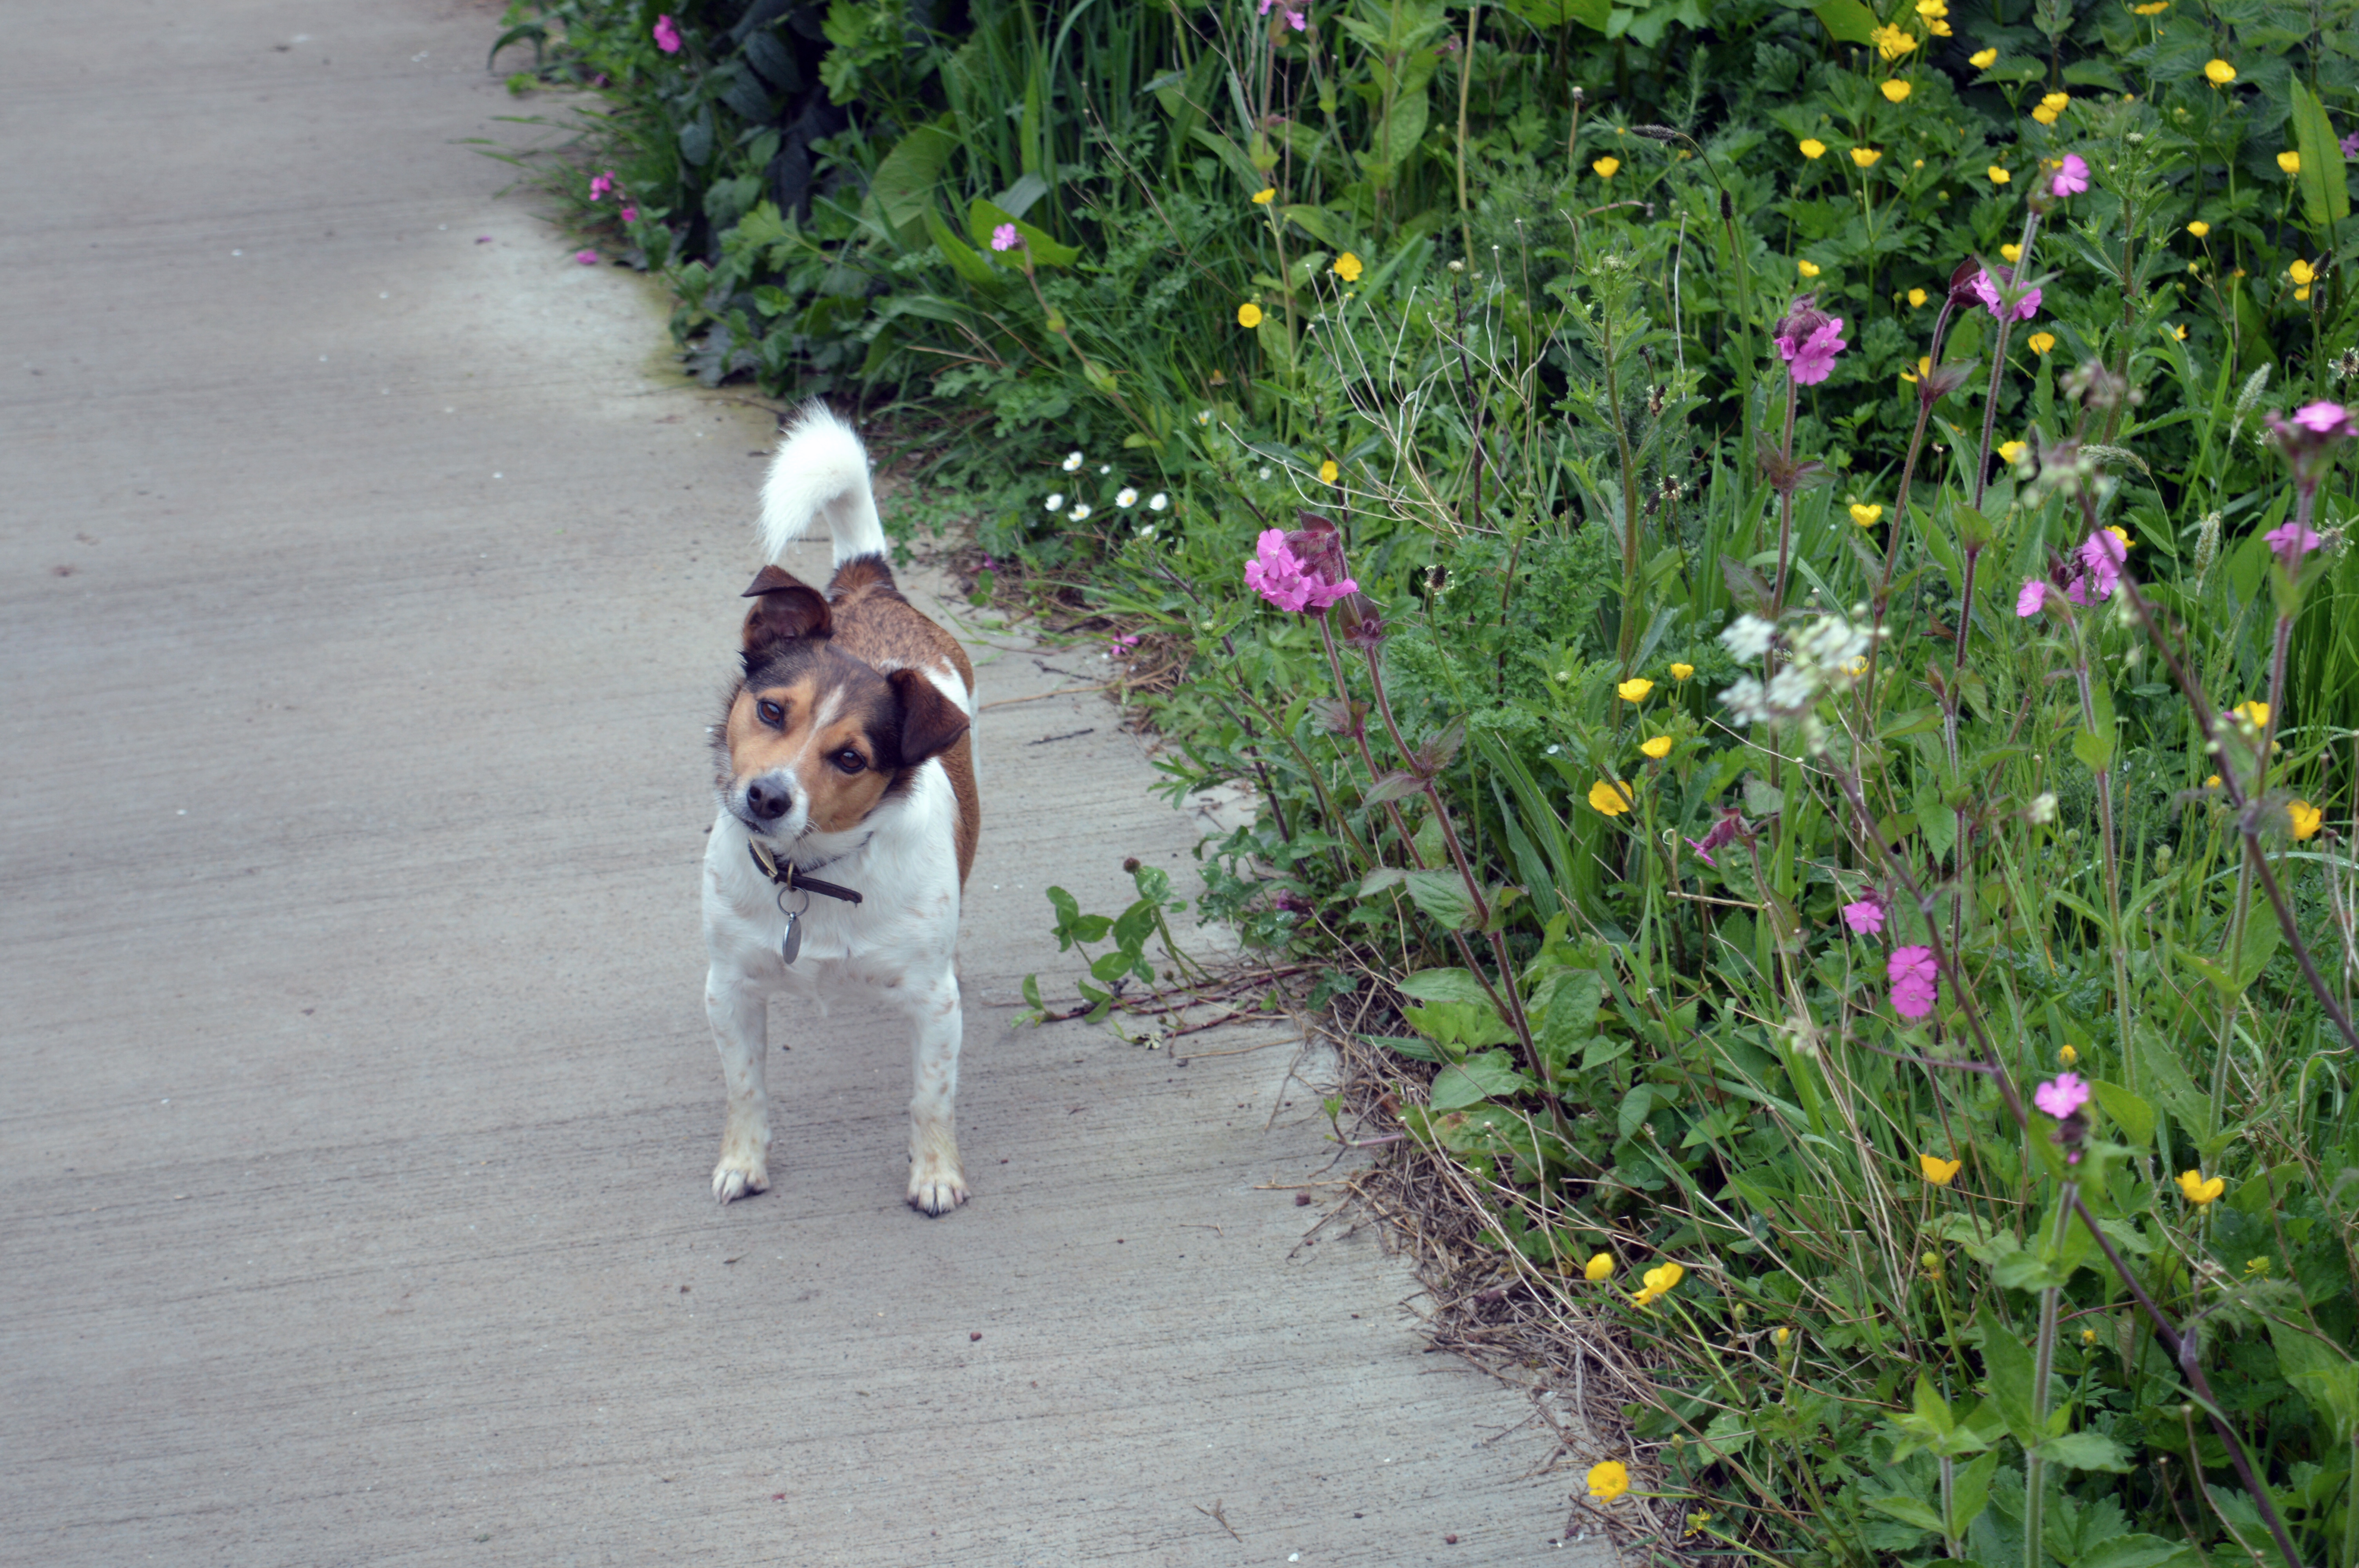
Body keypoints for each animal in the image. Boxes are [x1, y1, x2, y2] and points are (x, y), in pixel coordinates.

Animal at [698, 403, 976, 1207]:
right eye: (770, 710)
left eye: (851, 758)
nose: (766, 796)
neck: (811, 876)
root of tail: (869, 590)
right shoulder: (728, 990)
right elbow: (746, 1088)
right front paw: (744, 1162)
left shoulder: (934, 1006)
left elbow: (930, 1097)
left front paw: (935, 1174)